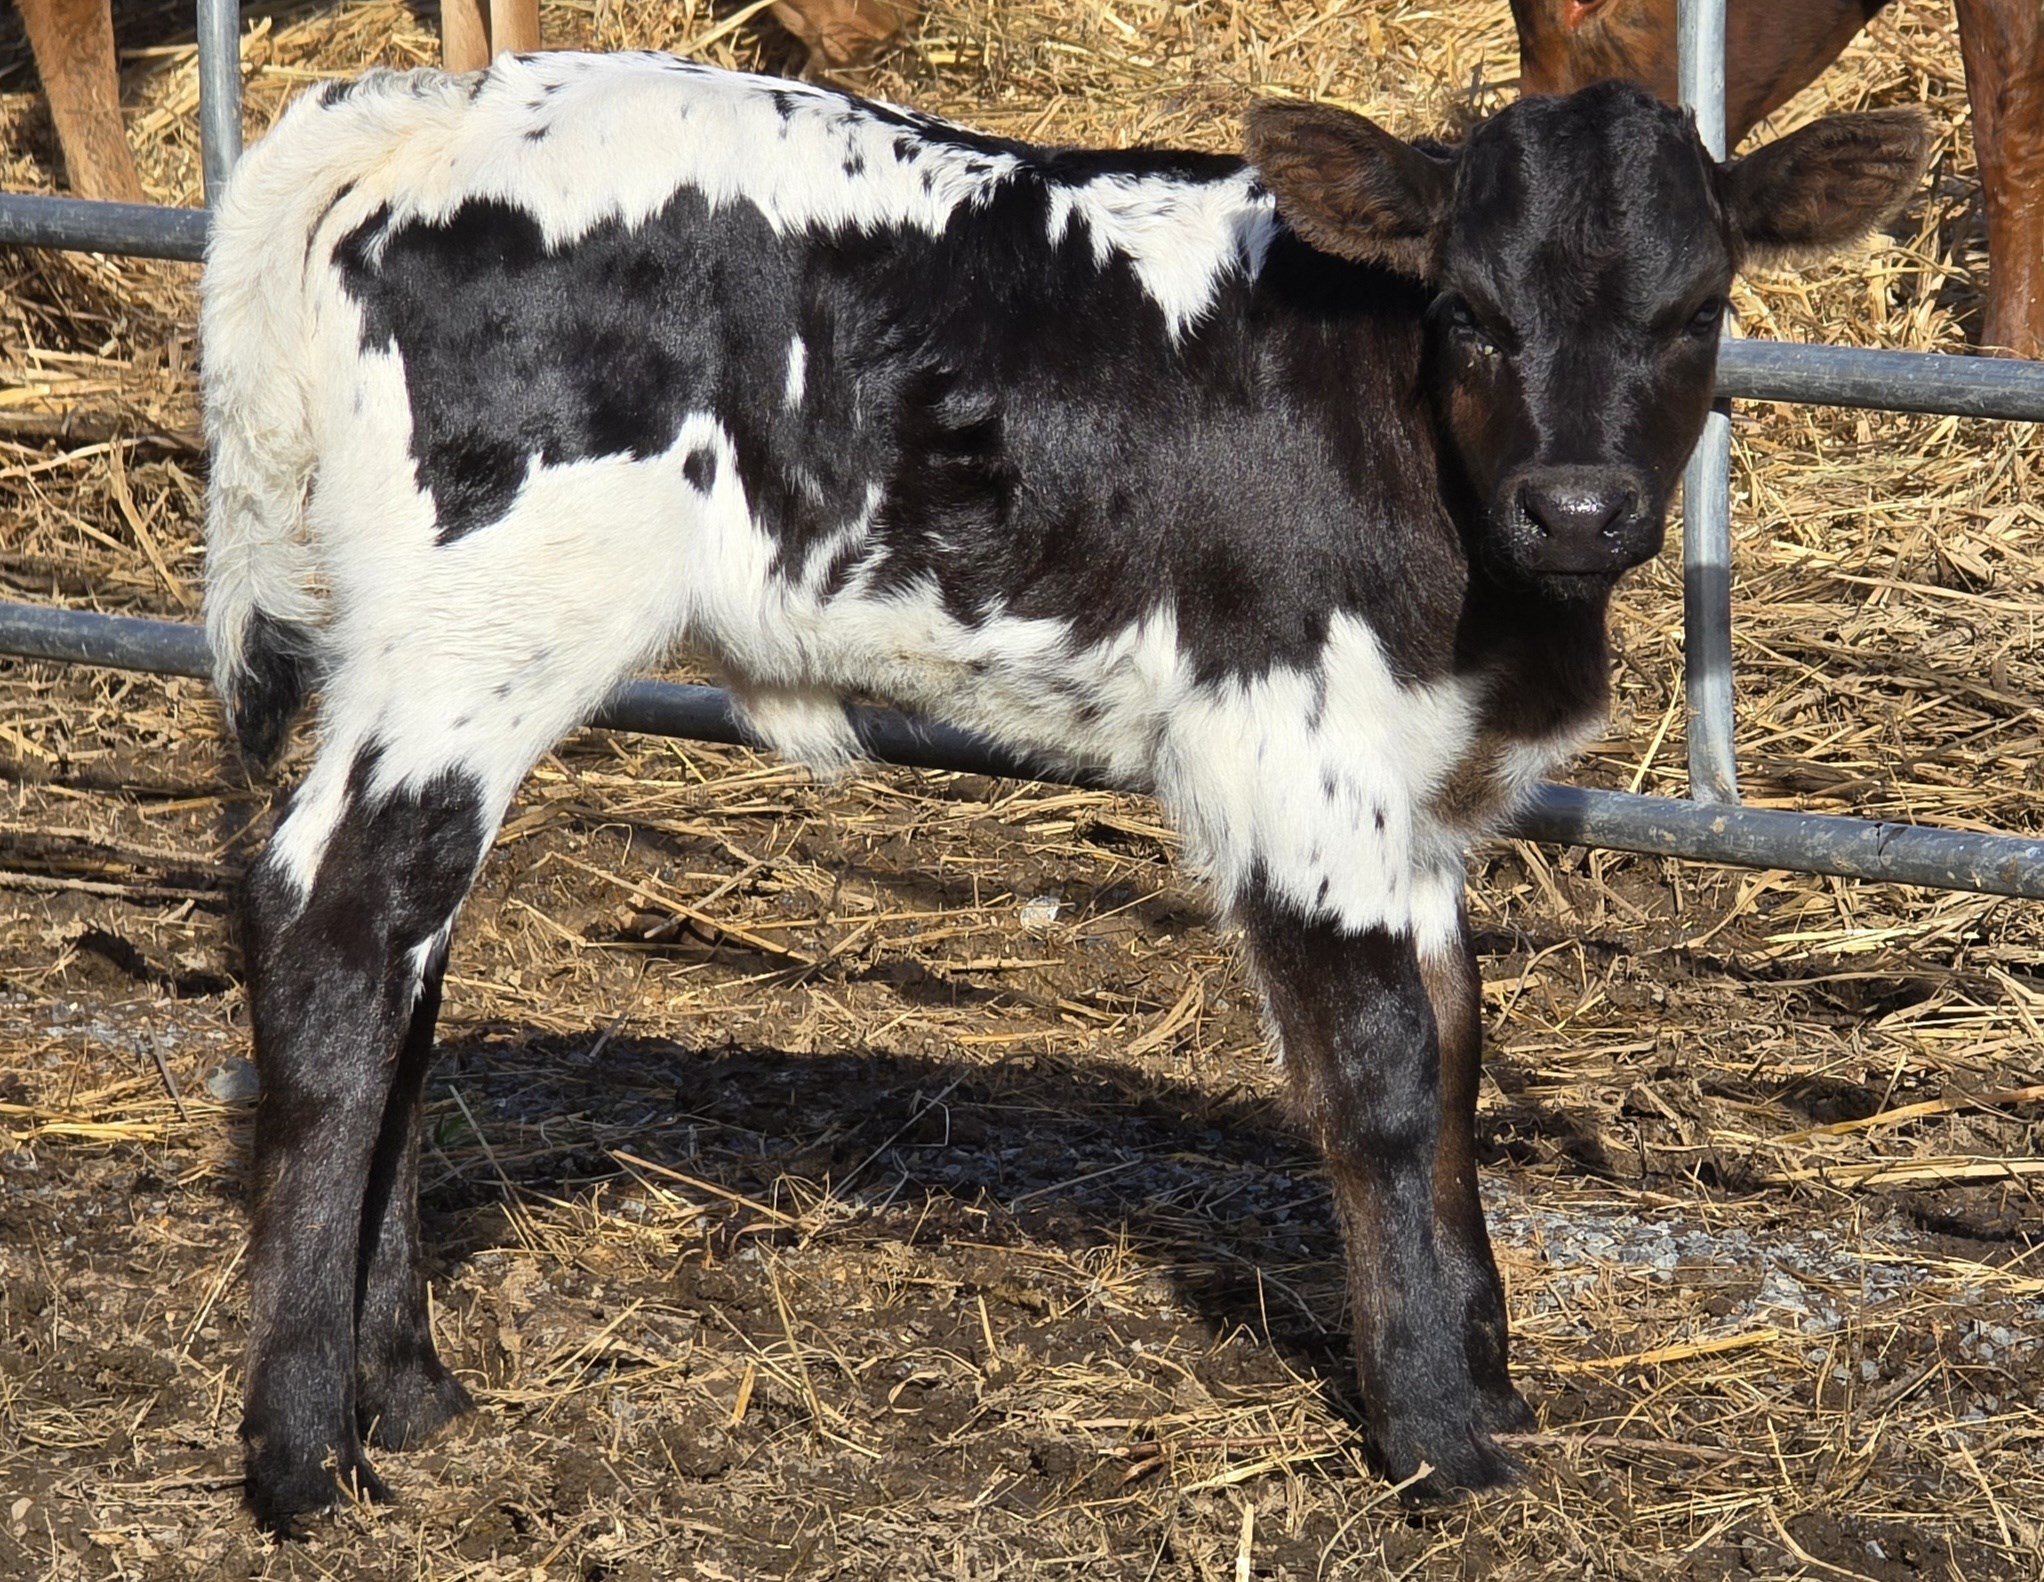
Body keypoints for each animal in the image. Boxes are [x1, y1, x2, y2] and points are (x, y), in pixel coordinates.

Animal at [198, 54, 1928, 1530]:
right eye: (1470, 306)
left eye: (1697, 305)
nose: (1577, 504)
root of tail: (431, 112)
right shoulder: (1288, 746)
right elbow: (1377, 1074)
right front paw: (1439, 1437)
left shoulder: (1414, 789)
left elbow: (1455, 1055)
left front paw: (1490, 1380)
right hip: (477, 635)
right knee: (339, 926)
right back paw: (302, 1454)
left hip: (422, 649)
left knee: (393, 953)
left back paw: (408, 1389)